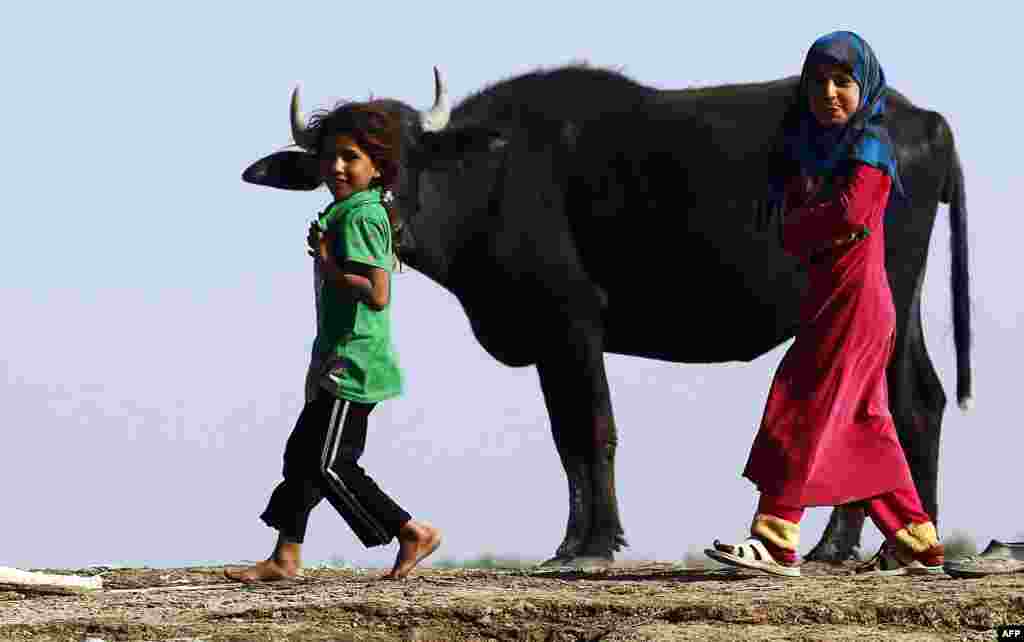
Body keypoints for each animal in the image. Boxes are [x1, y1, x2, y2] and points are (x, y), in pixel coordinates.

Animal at [243, 65, 970, 565]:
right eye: (339, 160)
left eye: (409, 154)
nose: (390, 220)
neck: (492, 180)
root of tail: (924, 119)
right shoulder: (548, 340)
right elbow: (567, 439)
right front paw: (571, 542)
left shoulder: (572, 323)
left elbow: (593, 430)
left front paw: (595, 544)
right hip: (899, 306)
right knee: (918, 401)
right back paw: (889, 546)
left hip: (878, 298)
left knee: (883, 405)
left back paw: (859, 547)